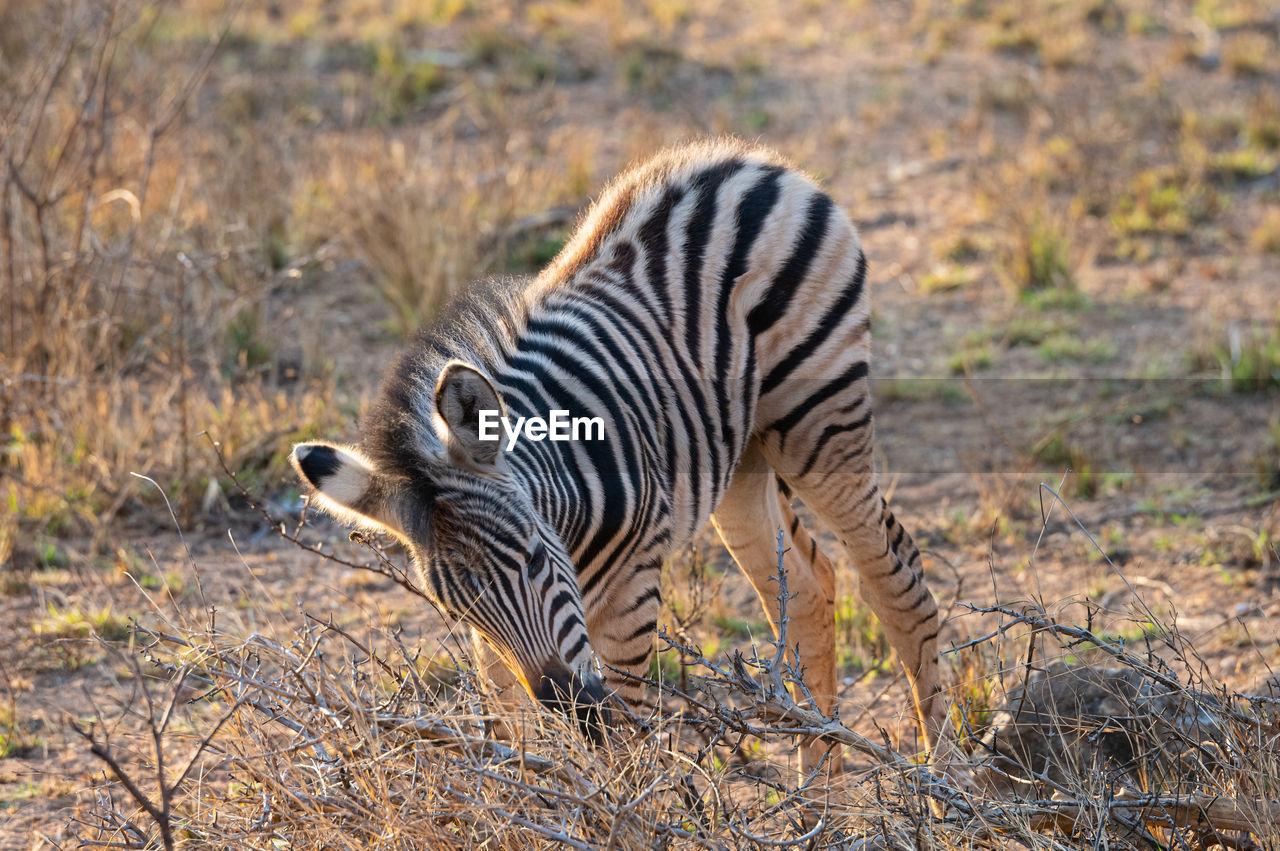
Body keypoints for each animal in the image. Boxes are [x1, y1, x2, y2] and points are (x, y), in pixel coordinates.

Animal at [290, 136, 952, 772]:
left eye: (534, 558)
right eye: (455, 610)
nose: (571, 706)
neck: (565, 518)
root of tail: (743, 158)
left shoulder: (631, 595)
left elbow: (627, 744)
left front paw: (627, 802)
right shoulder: (492, 647)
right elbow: (510, 734)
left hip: (818, 411)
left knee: (897, 580)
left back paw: (946, 774)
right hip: (741, 458)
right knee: (808, 588)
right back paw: (817, 793)